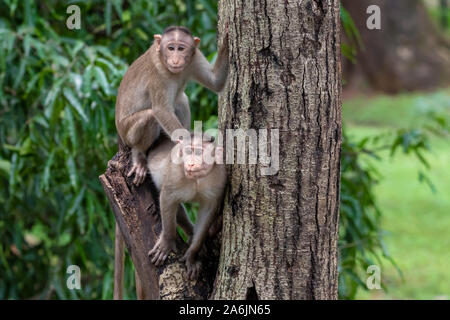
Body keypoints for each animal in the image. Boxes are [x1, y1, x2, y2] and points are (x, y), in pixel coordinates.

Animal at [115, 25, 229, 185]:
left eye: (181, 48)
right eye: (170, 48)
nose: (175, 60)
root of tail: (119, 135)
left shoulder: (195, 58)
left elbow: (215, 81)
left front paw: (226, 43)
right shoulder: (158, 73)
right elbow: (161, 110)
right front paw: (188, 145)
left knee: (181, 99)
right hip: (127, 133)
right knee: (150, 116)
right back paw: (139, 154)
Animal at [147, 132, 225, 280]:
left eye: (199, 152)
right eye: (188, 151)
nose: (191, 163)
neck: (197, 179)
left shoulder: (219, 178)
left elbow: (208, 210)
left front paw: (192, 254)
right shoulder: (175, 174)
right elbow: (167, 198)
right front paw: (167, 241)